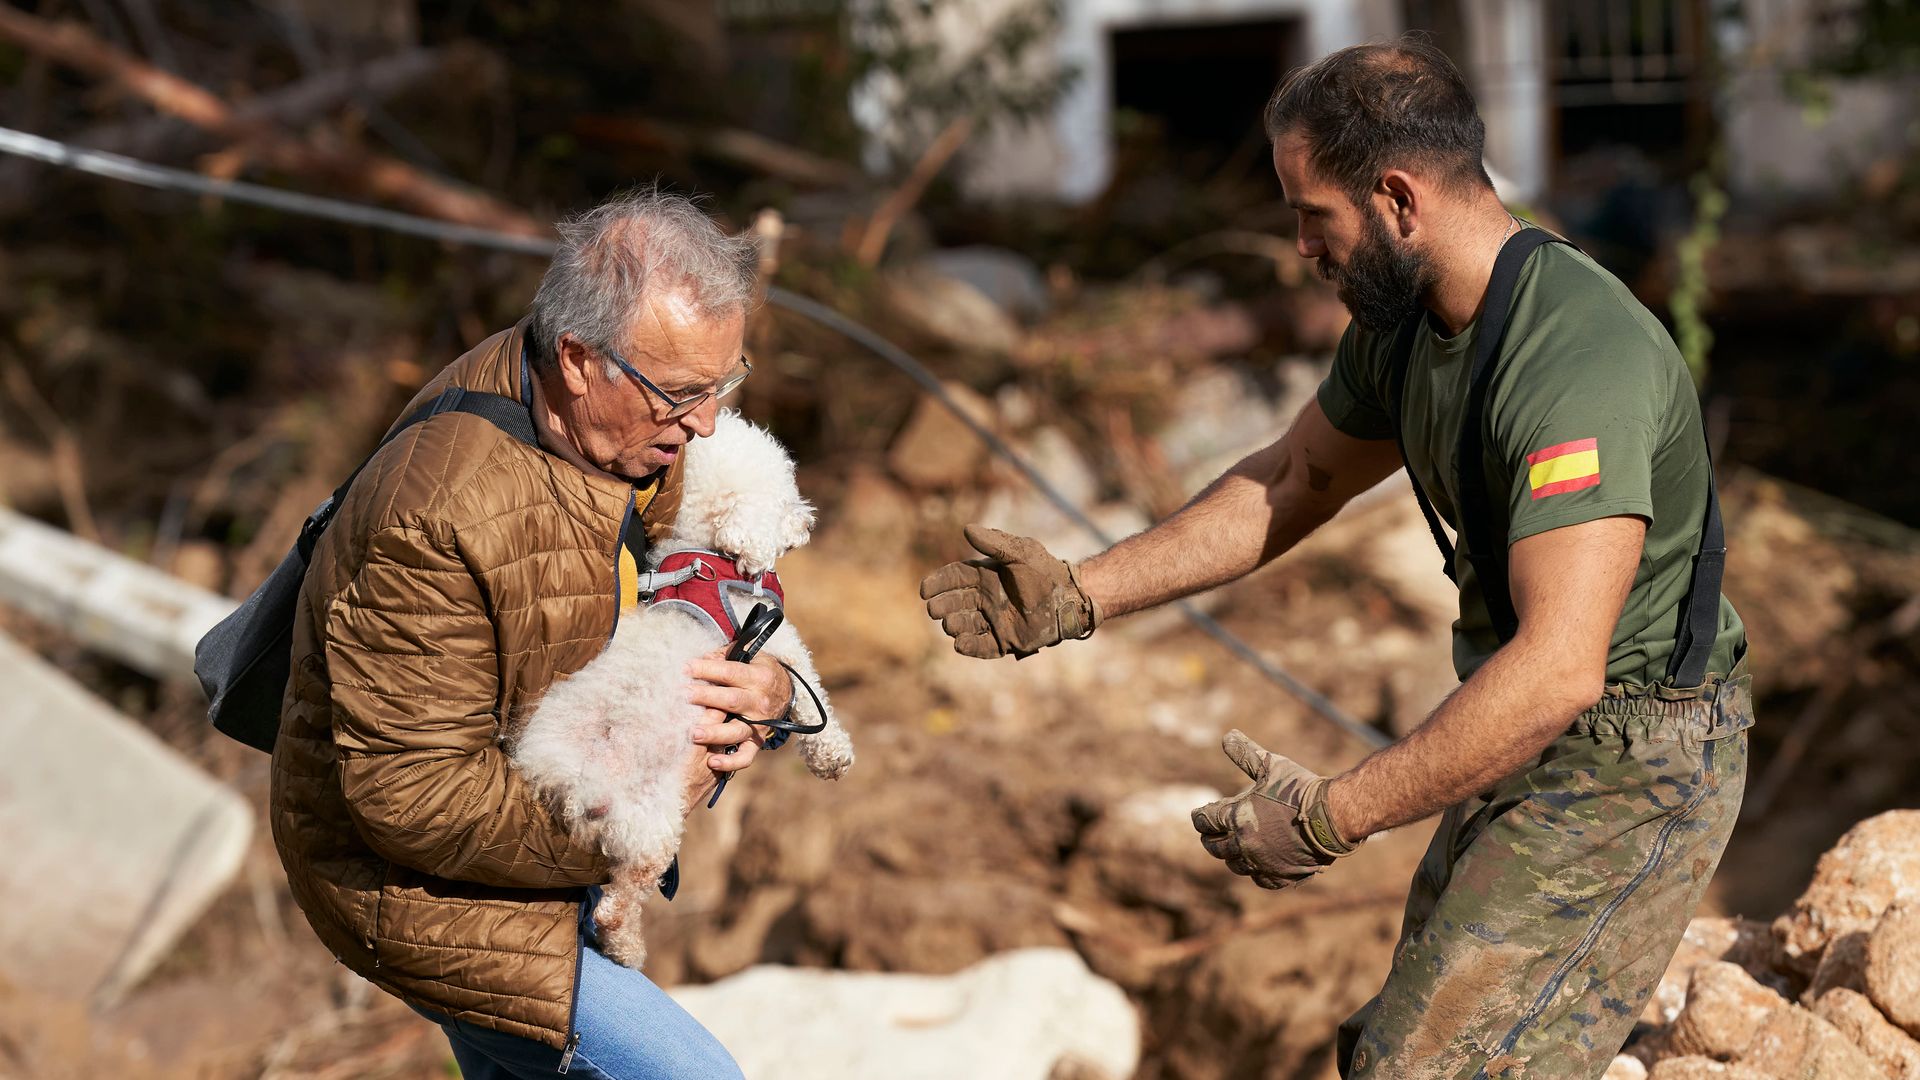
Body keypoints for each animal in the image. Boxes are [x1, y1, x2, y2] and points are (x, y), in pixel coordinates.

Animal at [510, 409, 848, 968]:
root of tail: (568, 777)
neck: (708, 556)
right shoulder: (773, 642)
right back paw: (627, 948)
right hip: (656, 818)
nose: (807, 522)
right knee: (618, 903)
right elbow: (808, 691)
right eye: (785, 494)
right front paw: (833, 754)